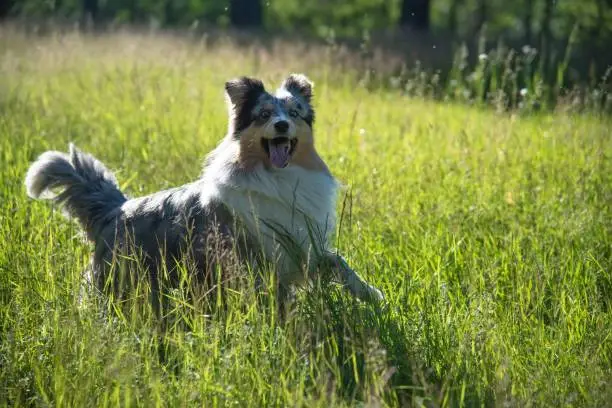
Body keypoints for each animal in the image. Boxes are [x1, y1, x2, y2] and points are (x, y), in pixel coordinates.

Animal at [25, 73, 382, 310]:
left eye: (294, 113)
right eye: (264, 115)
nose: (282, 125)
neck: (278, 177)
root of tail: (117, 209)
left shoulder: (302, 245)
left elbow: (337, 261)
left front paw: (371, 293)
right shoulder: (257, 254)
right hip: (118, 279)